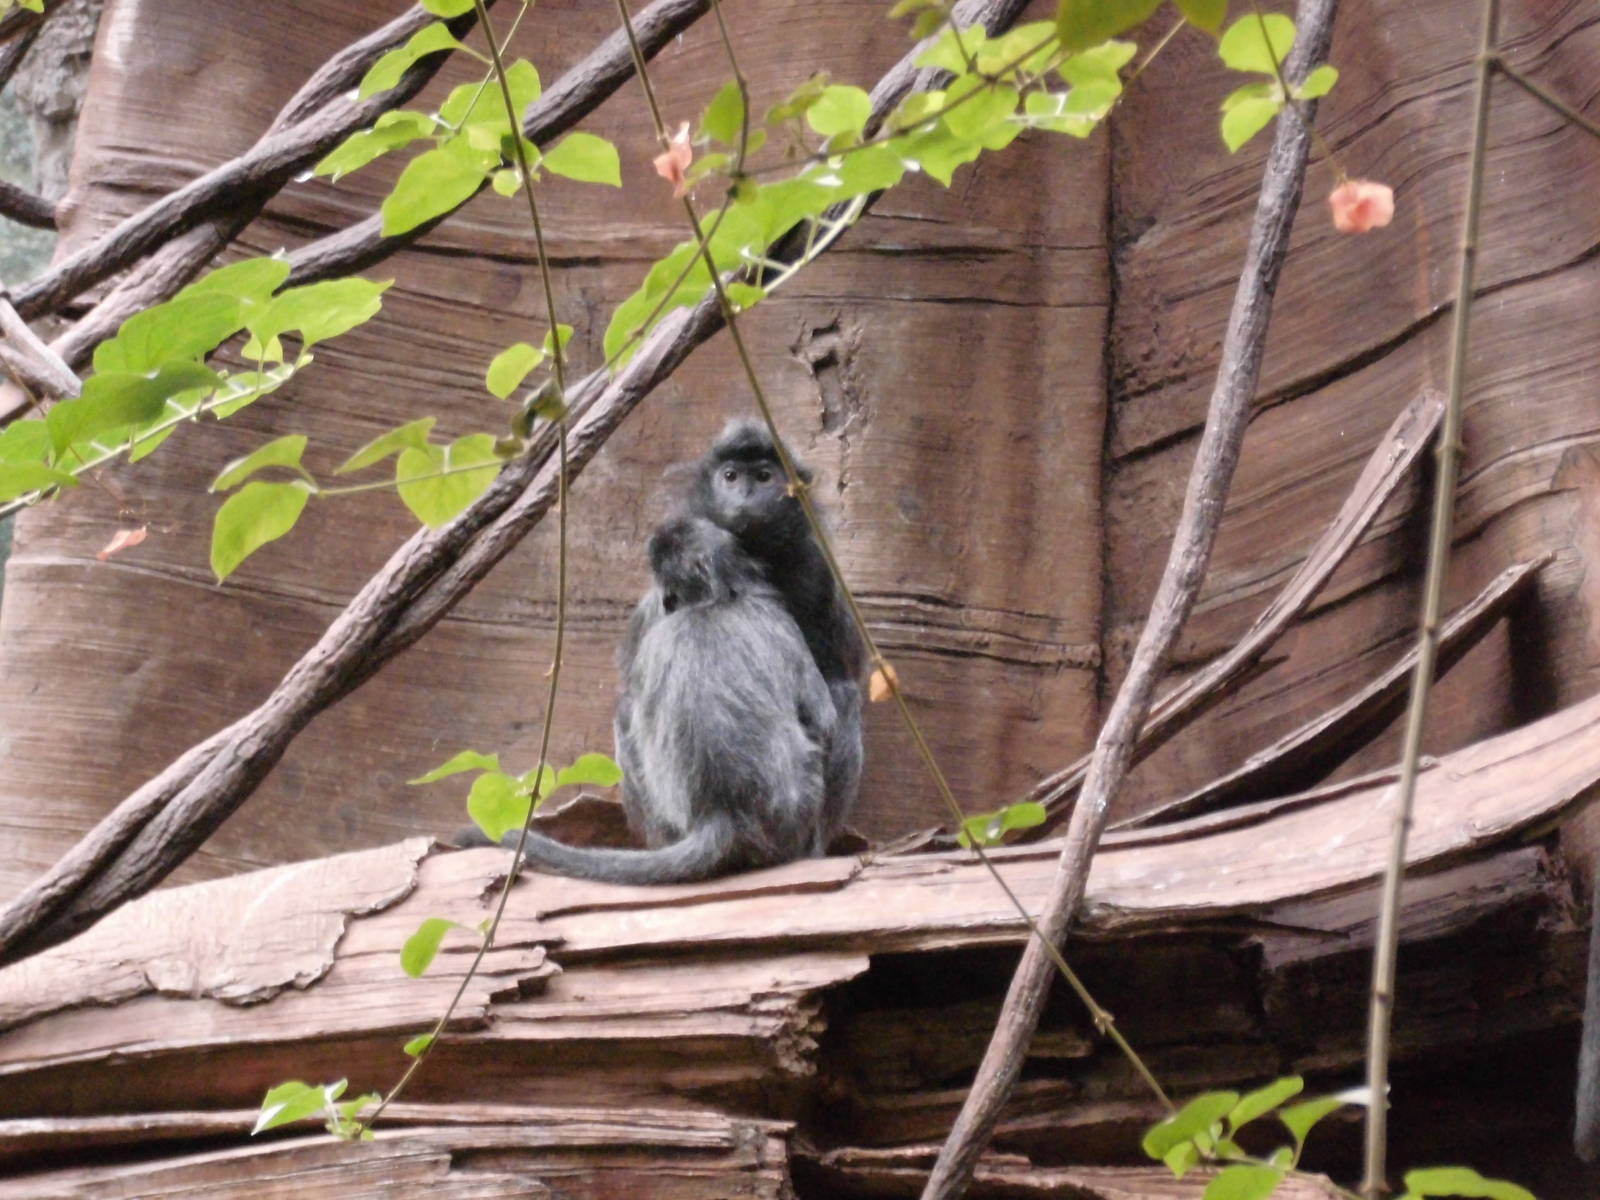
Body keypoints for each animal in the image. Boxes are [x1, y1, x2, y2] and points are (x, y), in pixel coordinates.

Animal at [497, 515, 840, 884]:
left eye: (671, 592)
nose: (666, 603)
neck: (715, 603)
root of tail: (722, 810)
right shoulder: (779, 622)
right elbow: (823, 720)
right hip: (797, 808)